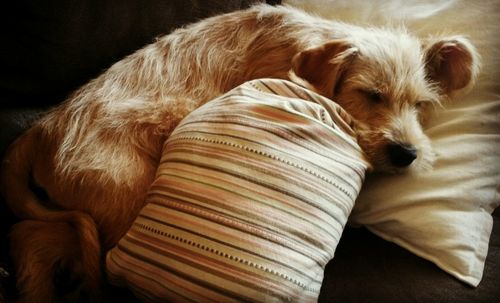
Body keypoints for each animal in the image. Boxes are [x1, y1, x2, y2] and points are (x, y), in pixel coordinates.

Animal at [0, 4, 476, 302]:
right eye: (371, 95)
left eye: (421, 104)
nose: (407, 154)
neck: (310, 45)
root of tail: (41, 128)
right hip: (124, 199)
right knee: (45, 237)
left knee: (28, 234)